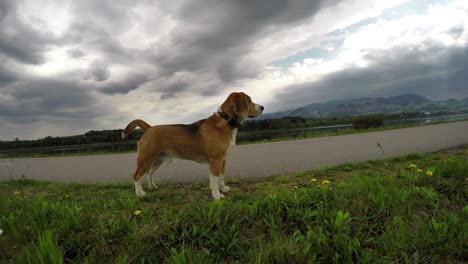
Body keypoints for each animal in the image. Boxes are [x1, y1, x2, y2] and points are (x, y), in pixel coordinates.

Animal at [122, 92, 264, 199]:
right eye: (249, 100)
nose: (262, 107)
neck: (226, 120)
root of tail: (149, 128)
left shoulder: (223, 160)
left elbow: (221, 177)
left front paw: (223, 188)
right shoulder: (215, 160)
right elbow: (214, 179)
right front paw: (217, 195)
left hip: (157, 161)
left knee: (149, 173)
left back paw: (152, 187)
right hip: (145, 159)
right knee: (136, 176)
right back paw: (140, 193)